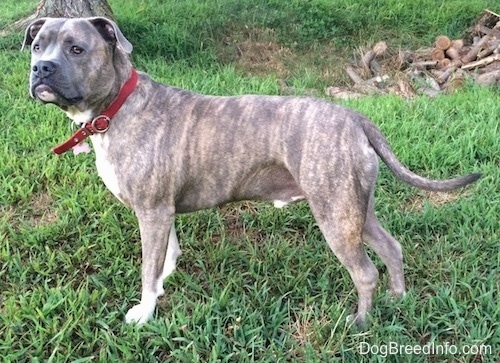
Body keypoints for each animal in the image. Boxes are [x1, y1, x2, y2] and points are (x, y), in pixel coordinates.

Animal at [23, 17, 480, 326]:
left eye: (76, 49)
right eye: (37, 46)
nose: (41, 69)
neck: (116, 107)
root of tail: (354, 117)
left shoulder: (151, 211)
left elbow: (146, 268)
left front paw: (144, 312)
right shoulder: (163, 211)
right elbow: (166, 255)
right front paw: (165, 281)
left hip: (334, 214)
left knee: (365, 273)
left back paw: (360, 322)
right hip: (356, 208)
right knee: (391, 248)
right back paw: (398, 299)